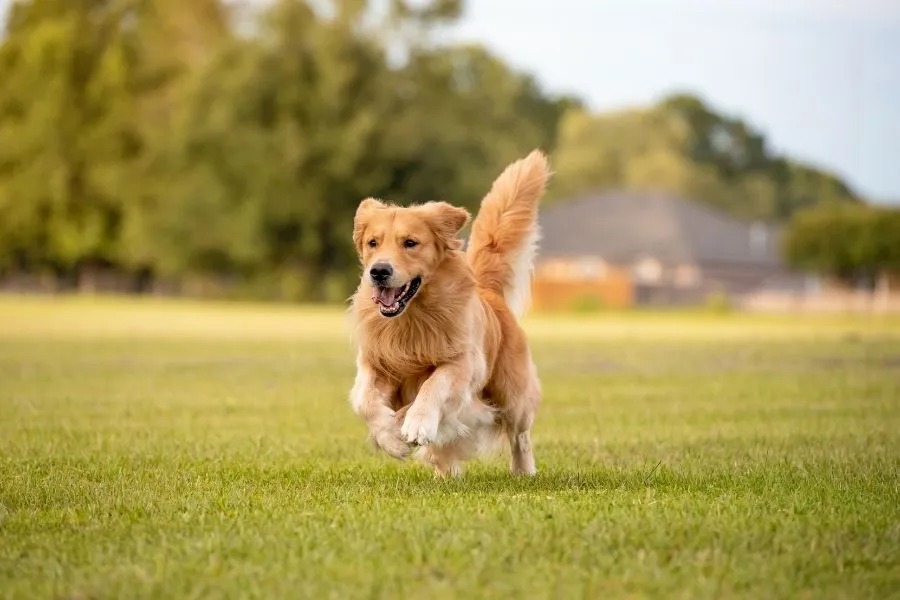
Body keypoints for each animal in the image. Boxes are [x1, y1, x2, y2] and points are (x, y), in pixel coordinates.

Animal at [350, 151, 552, 478]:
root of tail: (489, 293)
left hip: (513, 395)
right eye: (373, 243)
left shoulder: (462, 363)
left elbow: (433, 385)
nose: (379, 271)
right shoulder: (374, 362)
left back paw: (523, 470)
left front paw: (416, 422)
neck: (412, 318)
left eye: (410, 243)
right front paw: (391, 437)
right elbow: (364, 400)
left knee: (520, 434)